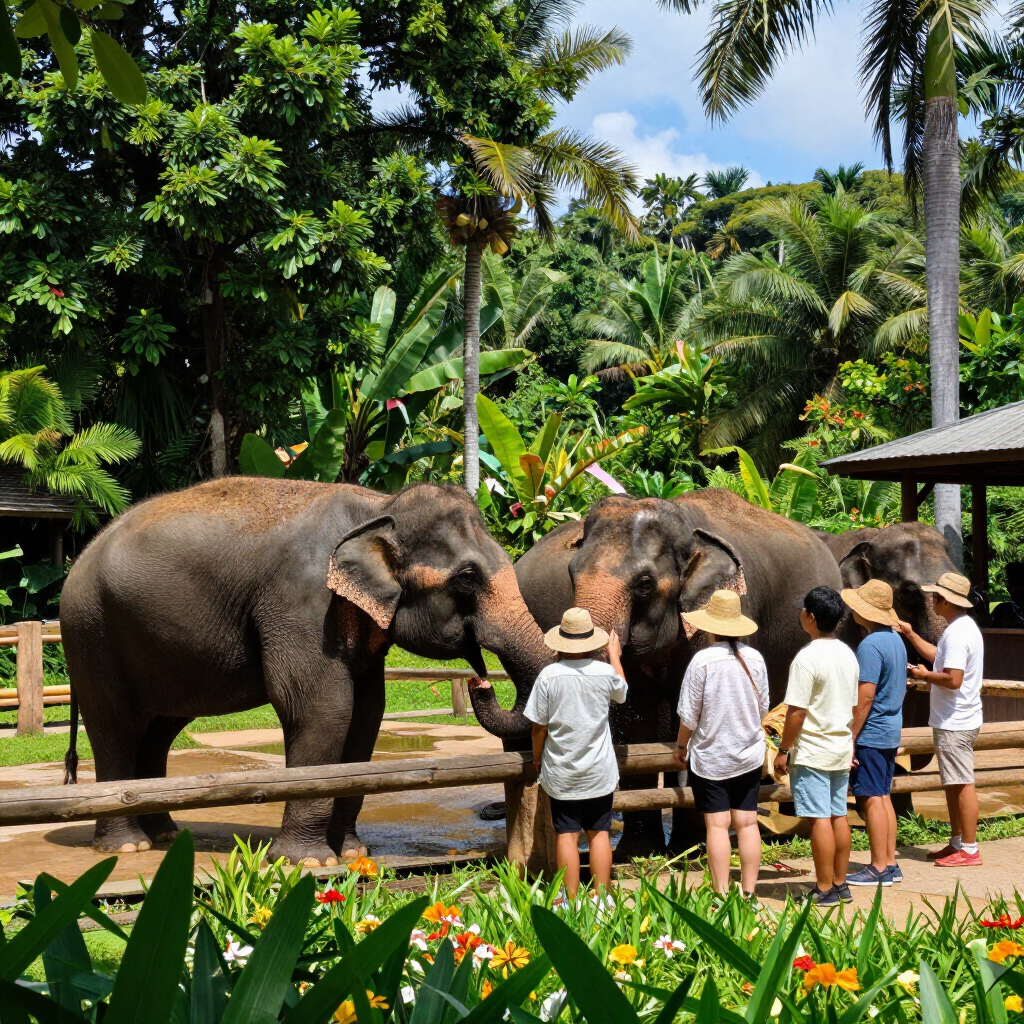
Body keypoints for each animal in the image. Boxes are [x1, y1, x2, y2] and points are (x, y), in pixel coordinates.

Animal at [61, 478, 551, 865]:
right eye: (467, 578)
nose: (479, 681)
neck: (379, 506)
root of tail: (78, 558)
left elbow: (366, 713)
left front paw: (351, 853)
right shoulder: (302, 605)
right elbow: (321, 708)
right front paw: (310, 862)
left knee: (159, 728)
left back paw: (165, 834)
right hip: (91, 632)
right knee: (115, 724)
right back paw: (128, 847)